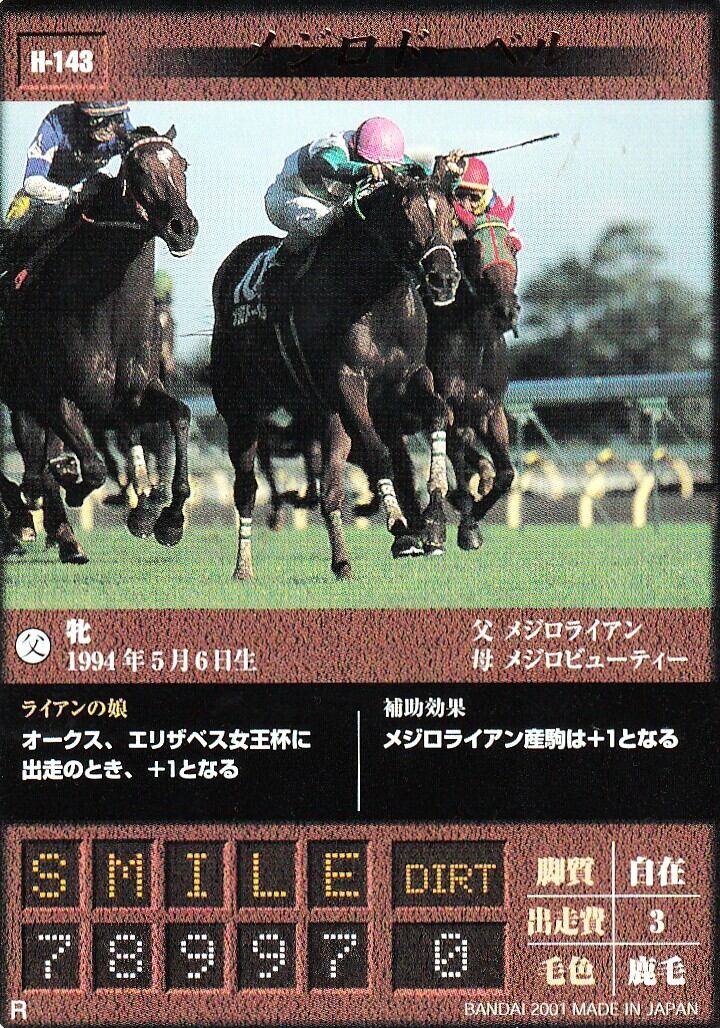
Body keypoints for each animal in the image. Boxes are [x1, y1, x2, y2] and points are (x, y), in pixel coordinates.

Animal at [0, 125, 198, 560]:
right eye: (138, 169)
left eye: (182, 164)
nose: (183, 227)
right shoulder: (57, 396)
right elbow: (89, 467)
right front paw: (72, 487)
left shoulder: (133, 395)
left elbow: (179, 415)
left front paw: (164, 517)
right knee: (35, 468)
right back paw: (28, 520)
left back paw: (58, 532)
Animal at [211, 168, 460, 581]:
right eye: (407, 217)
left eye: (450, 216)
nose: (443, 279)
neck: (375, 297)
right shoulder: (347, 382)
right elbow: (378, 451)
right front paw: (401, 528)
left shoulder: (408, 377)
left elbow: (439, 413)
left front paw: (435, 520)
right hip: (242, 412)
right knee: (246, 489)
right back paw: (242, 567)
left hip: (327, 416)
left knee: (329, 489)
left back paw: (342, 562)